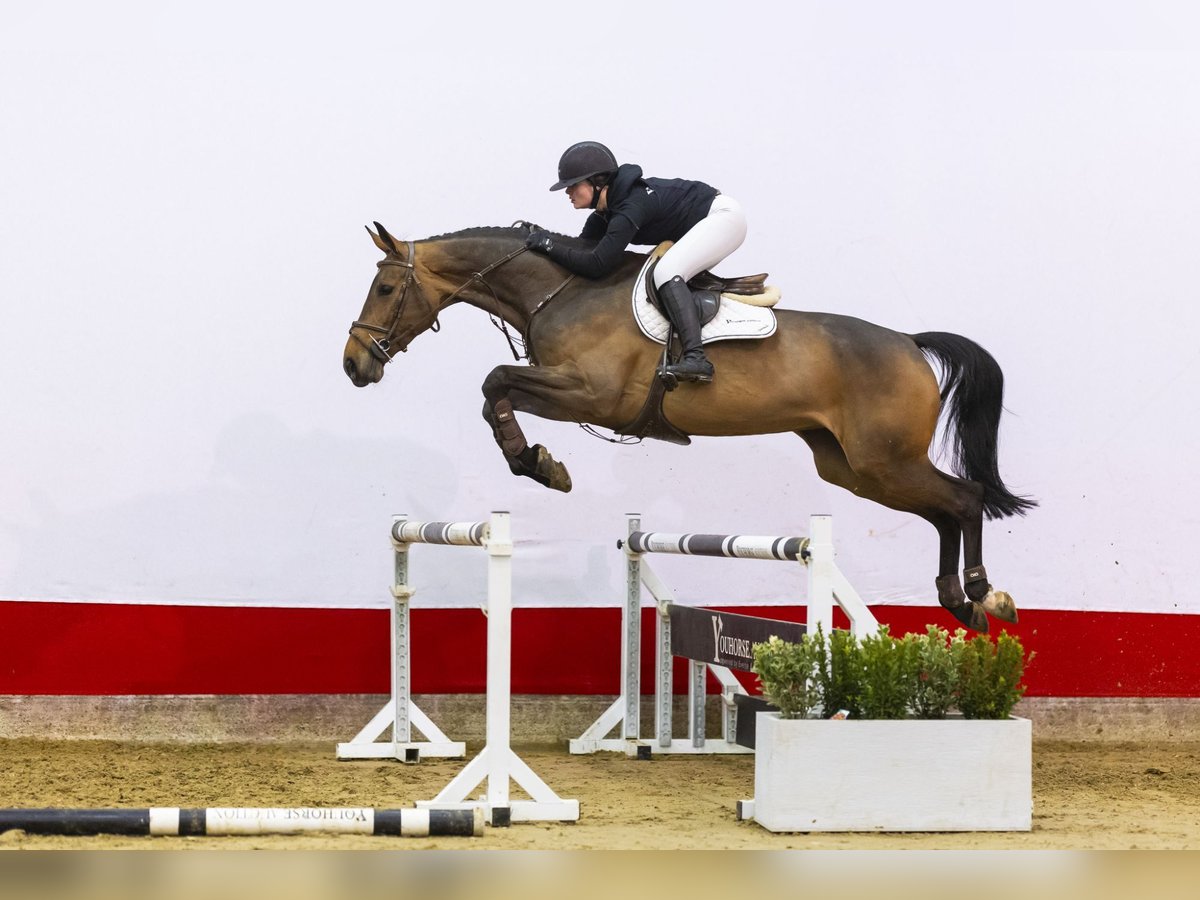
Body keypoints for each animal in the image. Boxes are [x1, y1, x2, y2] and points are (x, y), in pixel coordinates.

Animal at [343, 224, 1036, 633]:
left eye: (384, 289)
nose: (353, 365)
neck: (559, 292)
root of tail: (910, 343)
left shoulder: (592, 394)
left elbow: (494, 383)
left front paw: (540, 465)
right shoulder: (573, 395)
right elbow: (496, 394)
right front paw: (539, 461)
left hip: (883, 460)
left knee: (964, 499)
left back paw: (983, 595)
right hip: (854, 467)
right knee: (943, 510)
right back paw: (958, 600)